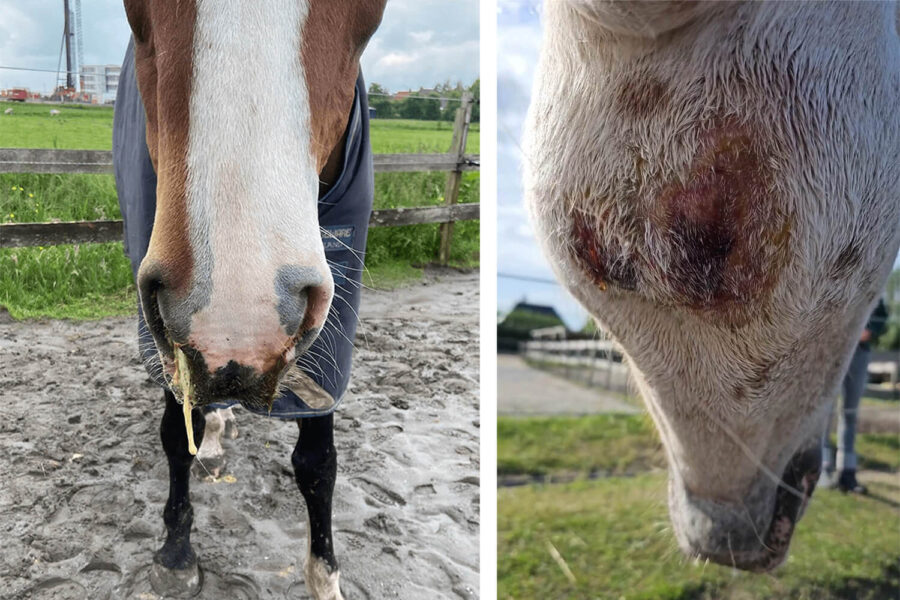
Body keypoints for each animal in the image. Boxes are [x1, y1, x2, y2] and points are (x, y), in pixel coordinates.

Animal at [122, 2, 384, 596]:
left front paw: (325, 578)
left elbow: (317, 462)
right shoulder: (167, 341)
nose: (237, 319)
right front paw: (176, 553)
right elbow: (177, 435)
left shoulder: (329, 347)